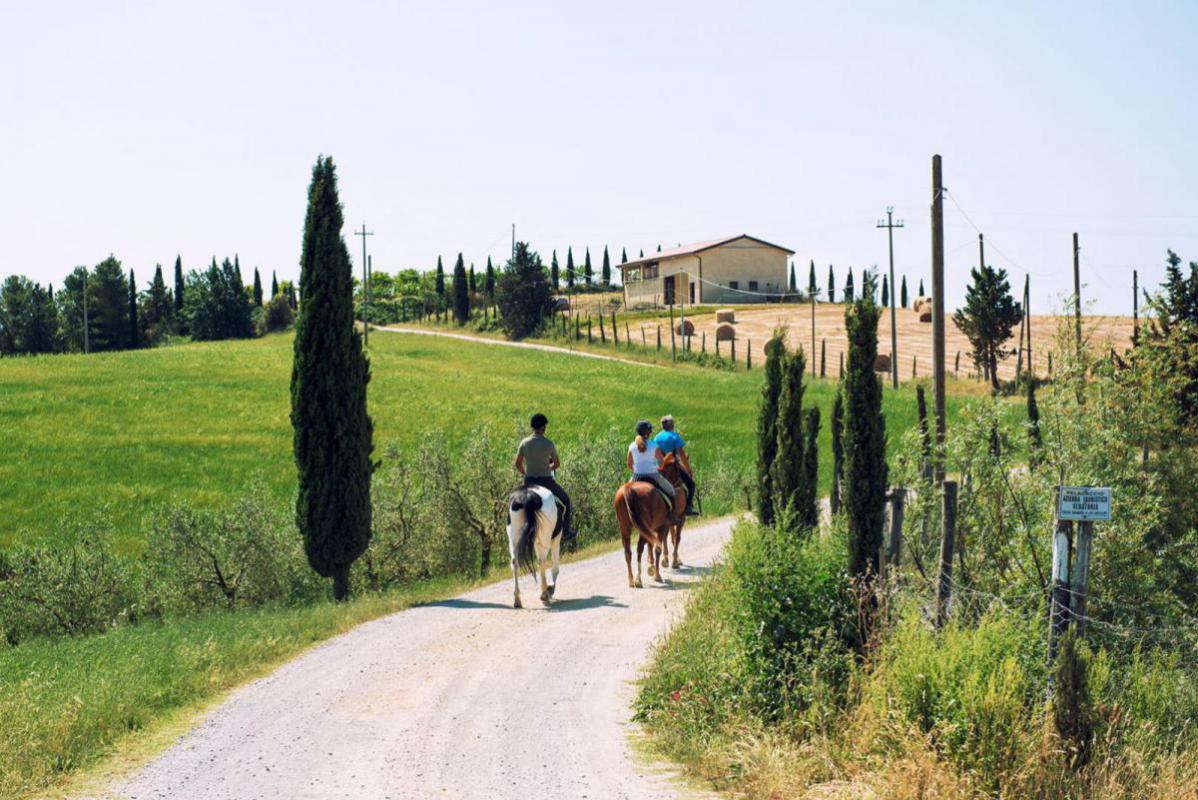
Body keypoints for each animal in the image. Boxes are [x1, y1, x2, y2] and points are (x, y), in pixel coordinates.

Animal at [613, 455, 690, 586]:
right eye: (678, 468)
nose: (681, 483)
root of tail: (628, 489)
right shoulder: (663, 526)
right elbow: (660, 546)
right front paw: (657, 574)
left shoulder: (652, 528)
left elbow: (653, 544)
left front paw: (652, 567)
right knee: (640, 548)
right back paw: (638, 578)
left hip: (625, 528)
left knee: (628, 552)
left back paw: (631, 579)